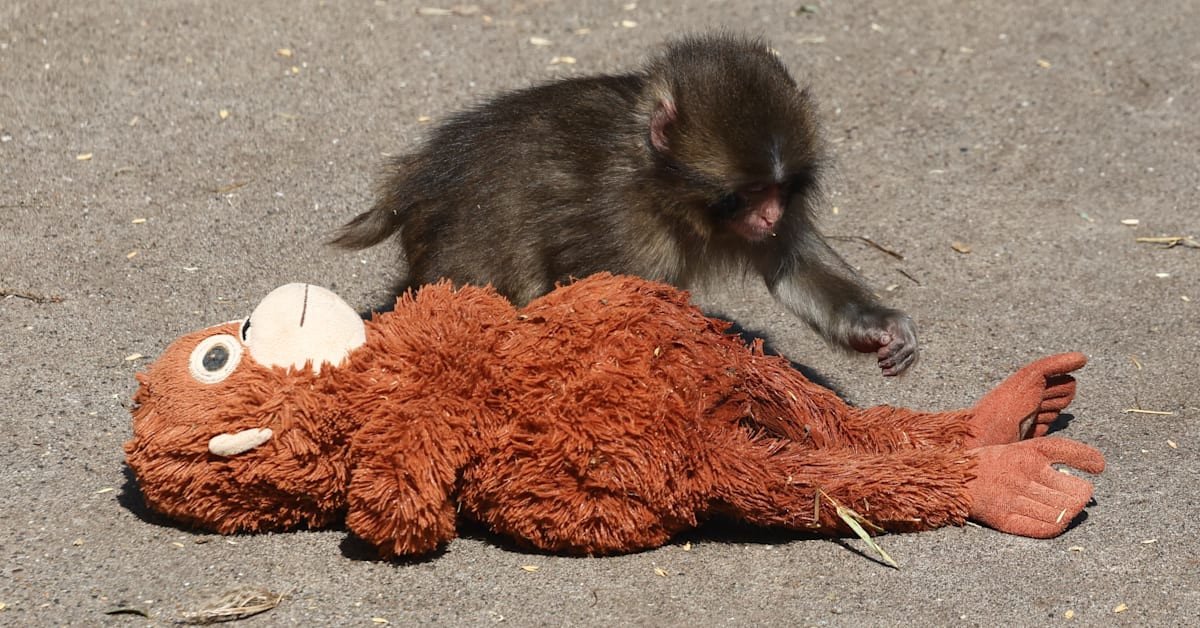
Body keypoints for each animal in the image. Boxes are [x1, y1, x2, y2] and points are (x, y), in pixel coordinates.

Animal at [332, 33, 917, 376]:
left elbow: (793, 267)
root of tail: (415, 183)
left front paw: (880, 328)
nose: (769, 216)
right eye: (744, 194)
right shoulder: (624, 232)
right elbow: (601, 306)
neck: (662, 191)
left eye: (779, 188)